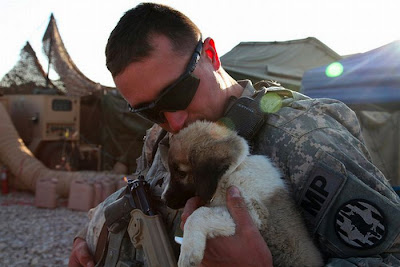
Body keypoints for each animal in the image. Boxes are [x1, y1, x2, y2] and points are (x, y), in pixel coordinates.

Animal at [162, 122, 322, 267]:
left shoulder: (255, 214)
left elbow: (199, 214)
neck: (233, 172)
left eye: (181, 173)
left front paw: (188, 252)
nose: (164, 200)